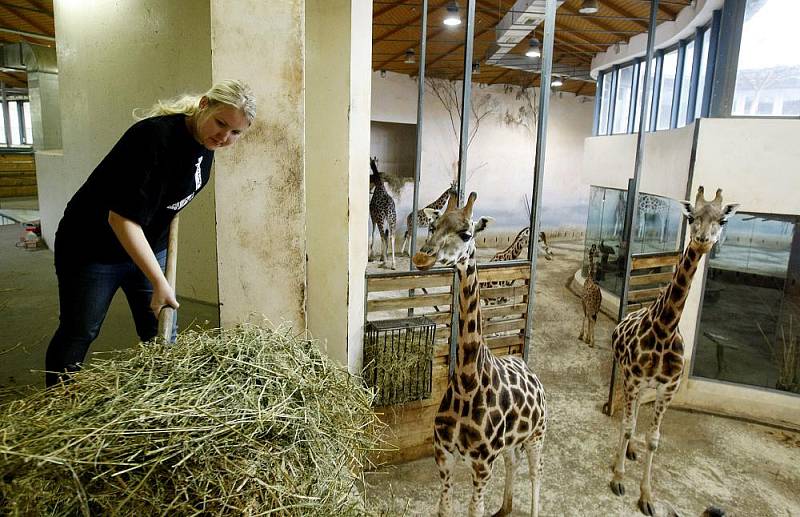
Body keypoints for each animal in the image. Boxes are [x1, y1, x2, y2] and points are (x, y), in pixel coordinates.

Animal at [412, 191, 552, 516]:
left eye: (467, 233)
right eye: (432, 226)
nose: (422, 257)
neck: (467, 383)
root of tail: (529, 369)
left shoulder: (482, 464)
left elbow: (475, 510)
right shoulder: (444, 456)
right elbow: (444, 509)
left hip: (538, 433)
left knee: (537, 471)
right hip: (514, 441)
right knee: (513, 460)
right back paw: (505, 507)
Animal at [608, 187, 740, 512]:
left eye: (722, 220)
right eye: (691, 217)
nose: (702, 239)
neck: (664, 329)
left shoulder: (668, 387)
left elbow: (654, 438)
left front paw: (646, 496)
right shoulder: (634, 379)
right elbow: (628, 425)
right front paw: (618, 478)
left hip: (646, 386)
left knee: (635, 416)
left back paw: (629, 452)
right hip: (628, 378)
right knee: (628, 417)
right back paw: (620, 456)